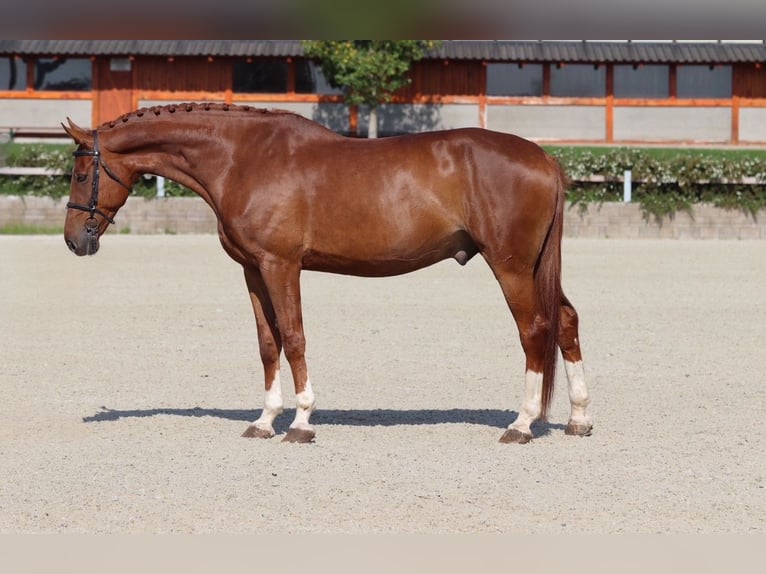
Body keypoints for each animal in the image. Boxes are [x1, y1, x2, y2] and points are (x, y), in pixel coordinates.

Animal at [63, 103, 596, 446]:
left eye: (79, 173)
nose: (74, 241)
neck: (243, 158)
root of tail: (544, 157)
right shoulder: (253, 270)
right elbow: (268, 343)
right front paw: (264, 421)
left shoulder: (281, 265)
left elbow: (295, 337)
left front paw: (300, 422)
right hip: (535, 267)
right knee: (567, 321)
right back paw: (578, 417)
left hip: (510, 266)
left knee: (534, 330)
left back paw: (522, 424)